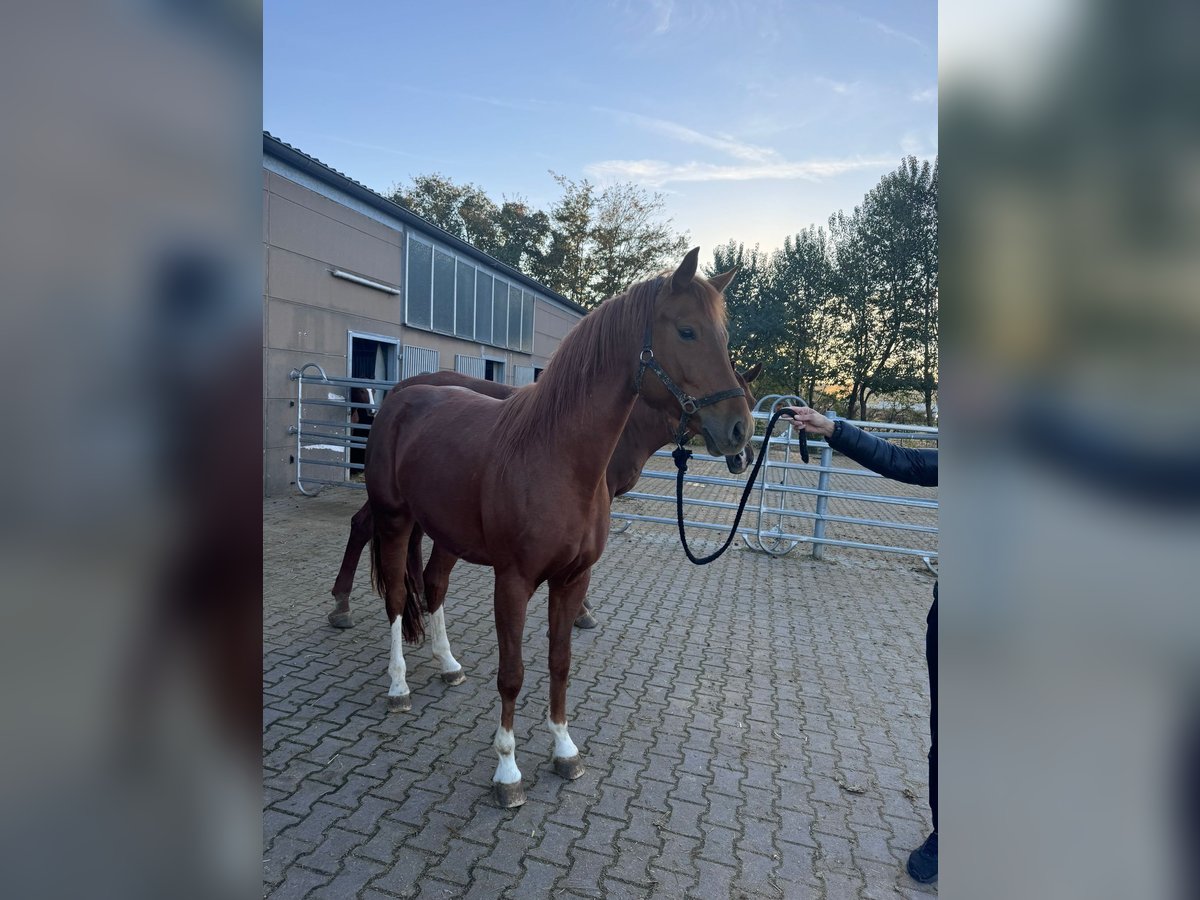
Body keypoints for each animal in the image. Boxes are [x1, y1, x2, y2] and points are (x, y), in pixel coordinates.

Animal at [328, 362, 758, 628]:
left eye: (754, 402)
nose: (743, 455)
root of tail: (402, 389)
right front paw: (583, 611)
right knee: (363, 525)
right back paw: (342, 603)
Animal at [364, 248, 744, 811]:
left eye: (723, 334)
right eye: (687, 331)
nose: (740, 428)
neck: (556, 456)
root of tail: (398, 399)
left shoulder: (572, 579)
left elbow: (560, 662)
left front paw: (565, 749)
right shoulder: (513, 582)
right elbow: (513, 674)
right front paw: (507, 771)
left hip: (446, 532)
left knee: (433, 584)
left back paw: (448, 663)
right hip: (393, 519)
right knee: (394, 595)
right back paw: (398, 688)